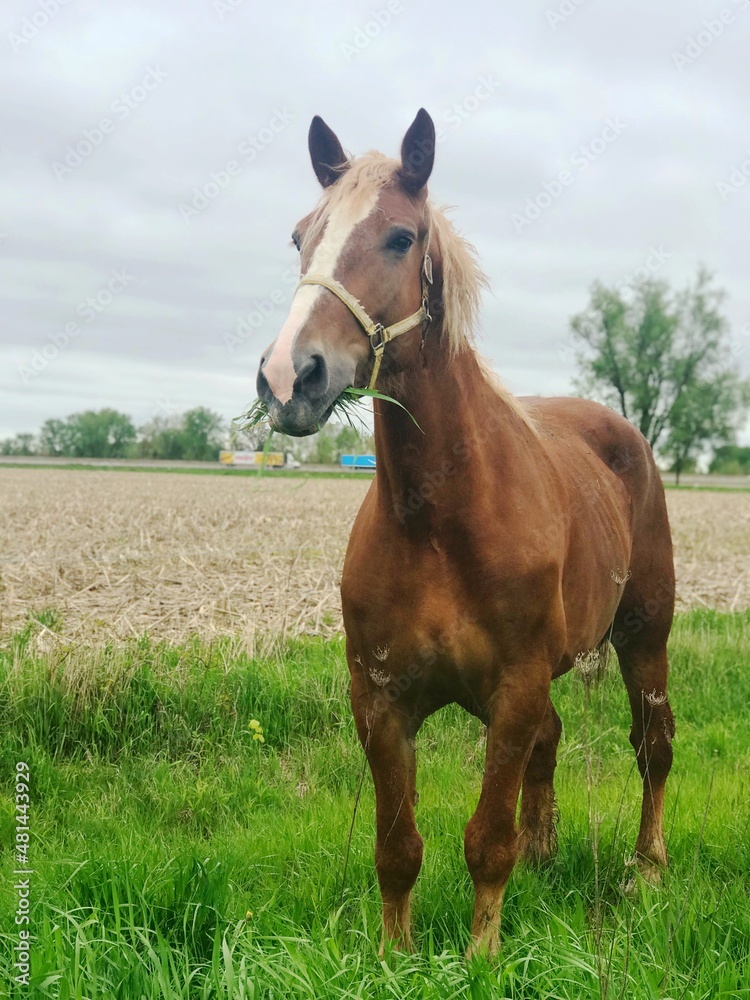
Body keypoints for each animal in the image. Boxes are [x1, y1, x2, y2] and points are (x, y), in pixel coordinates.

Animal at [256, 109, 675, 958]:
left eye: (400, 237)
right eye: (300, 236)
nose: (289, 377)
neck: (438, 522)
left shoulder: (512, 689)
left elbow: (487, 840)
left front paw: (483, 956)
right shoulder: (381, 700)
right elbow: (397, 847)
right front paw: (395, 956)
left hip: (644, 637)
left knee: (652, 746)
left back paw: (646, 869)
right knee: (551, 745)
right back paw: (548, 854)